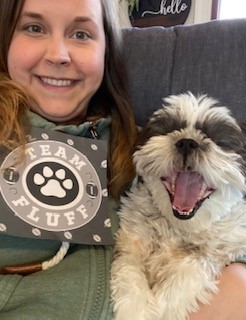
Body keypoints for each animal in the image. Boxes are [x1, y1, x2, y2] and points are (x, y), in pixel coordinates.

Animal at [110, 92, 246, 320]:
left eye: (218, 141)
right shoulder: (132, 243)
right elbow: (129, 271)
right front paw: (136, 309)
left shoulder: (222, 249)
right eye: (168, 130)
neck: (179, 227)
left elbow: (192, 267)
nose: (187, 142)